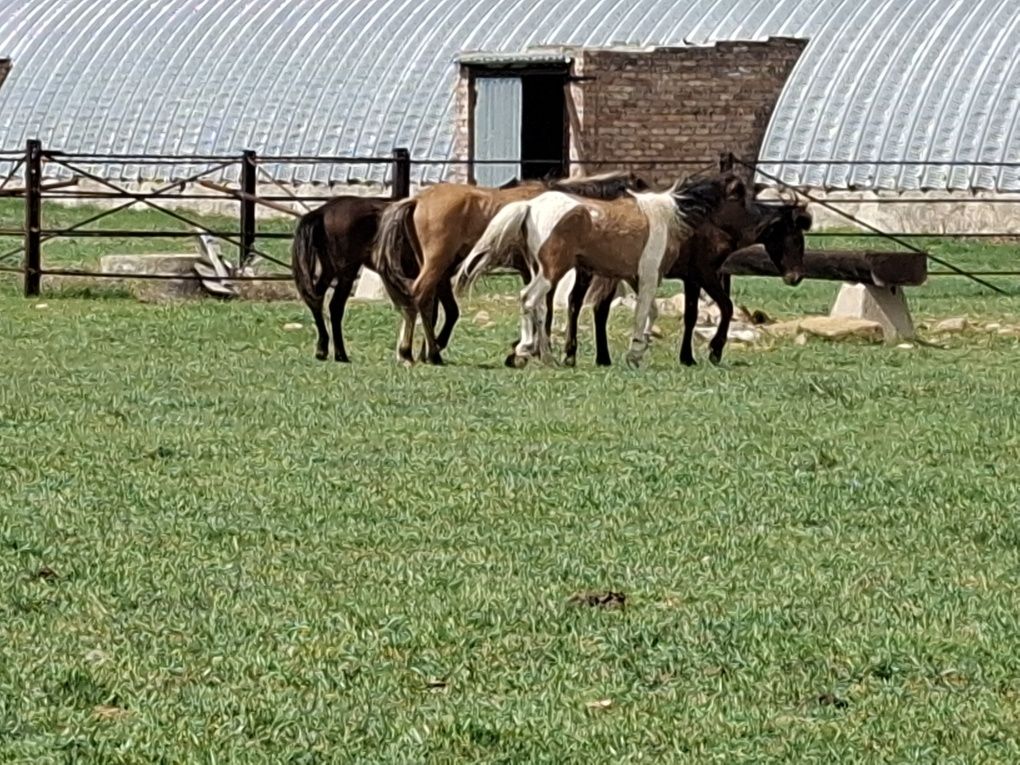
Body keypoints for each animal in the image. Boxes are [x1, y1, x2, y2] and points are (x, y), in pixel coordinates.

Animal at [373, 171, 644, 369]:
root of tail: (417, 199)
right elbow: (549, 308)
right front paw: (537, 350)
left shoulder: (533, 270)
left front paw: (527, 349)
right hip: (437, 263)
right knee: (420, 297)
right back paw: (422, 353)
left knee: (425, 303)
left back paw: (420, 352)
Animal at [454, 173, 750, 369]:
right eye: (740, 197)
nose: (736, 243)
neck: (668, 215)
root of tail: (530, 206)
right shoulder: (650, 277)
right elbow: (642, 312)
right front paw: (634, 354)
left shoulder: (635, 277)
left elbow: (651, 312)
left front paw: (642, 347)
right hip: (552, 270)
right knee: (528, 298)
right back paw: (526, 349)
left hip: (539, 269)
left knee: (537, 306)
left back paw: (547, 356)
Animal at [563, 200, 816, 369]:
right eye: (794, 238)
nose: (795, 277)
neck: (715, 224)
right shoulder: (706, 274)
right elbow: (726, 307)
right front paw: (714, 351)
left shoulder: (692, 279)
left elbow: (691, 316)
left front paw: (687, 357)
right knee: (589, 305)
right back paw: (580, 356)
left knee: (588, 305)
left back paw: (595, 358)